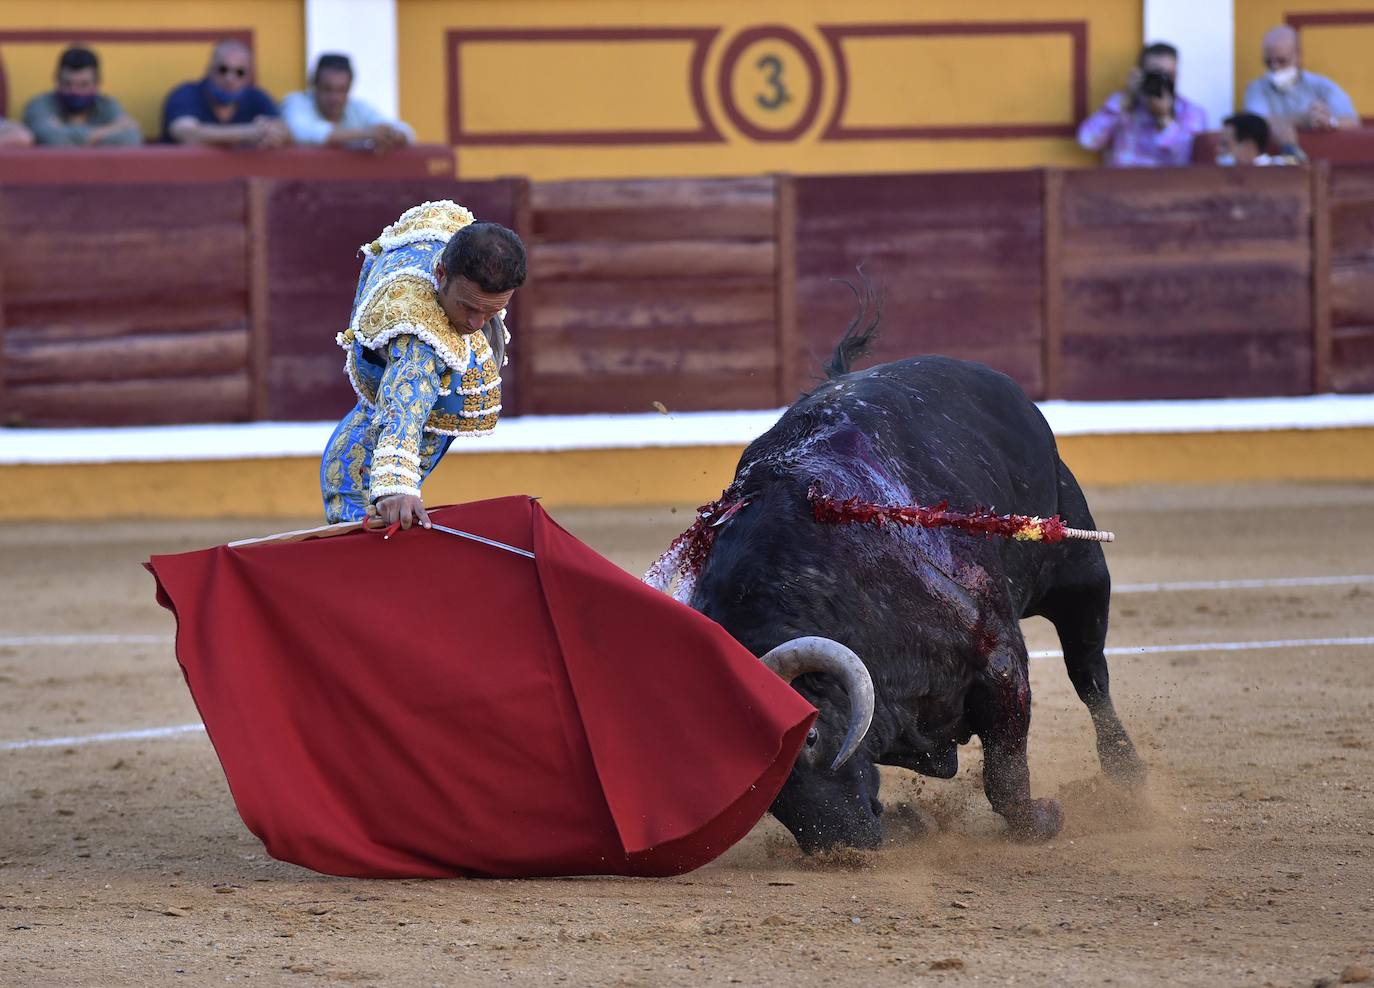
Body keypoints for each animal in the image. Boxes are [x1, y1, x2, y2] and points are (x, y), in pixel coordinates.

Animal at [670, 289, 1143, 851]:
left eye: (809, 738)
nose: (843, 847)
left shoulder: (1000, 662)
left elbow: (1005, 778)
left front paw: (1044, 819)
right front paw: (910, 820)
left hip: (1080, 571)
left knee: (1090, 674)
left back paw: (1128, 777)